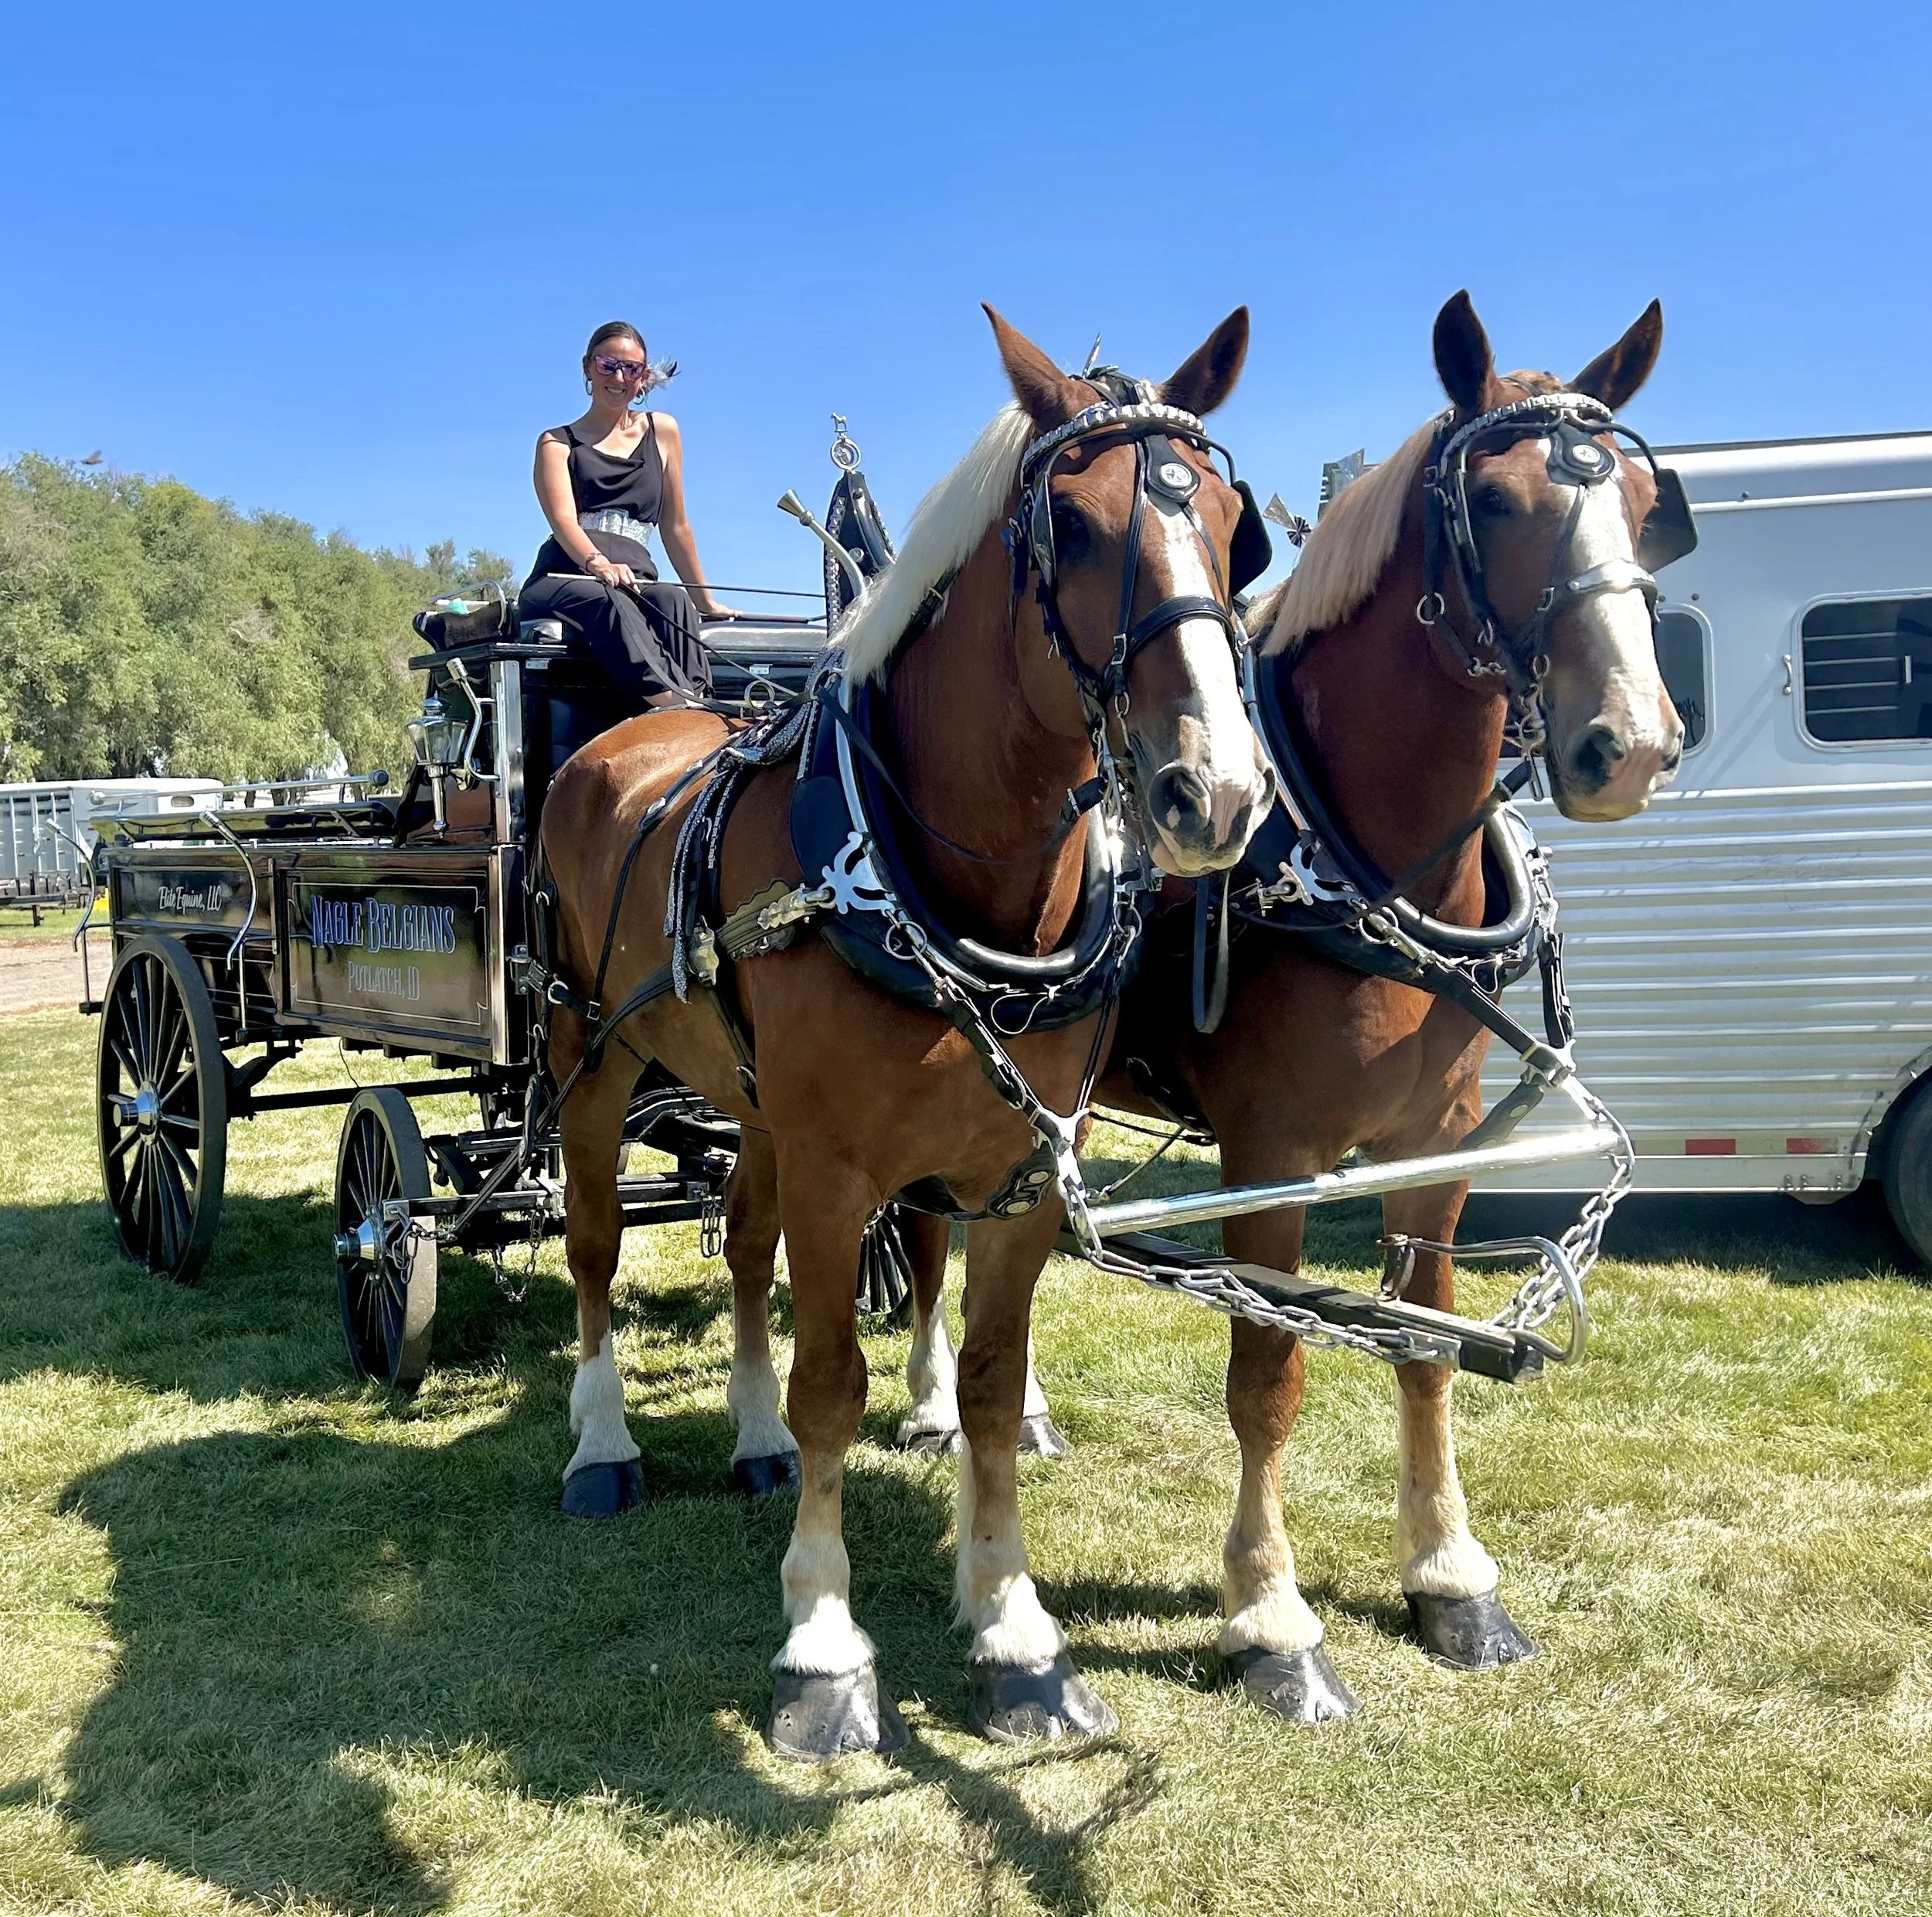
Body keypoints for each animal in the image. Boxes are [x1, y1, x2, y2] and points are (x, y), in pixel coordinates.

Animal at [537, 305, 1274, 1760]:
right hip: (592, 1057)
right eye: (1077, 528)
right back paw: (604, 1447)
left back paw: (750, 1440)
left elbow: (989, 1382)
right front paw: (823, 1643)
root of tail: (628, 736)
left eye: (1236, 526)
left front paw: (1012, 1626)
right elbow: (835, 1384)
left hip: (754, 1104)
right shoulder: (839, 1171)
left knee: (745, 1248)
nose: (1214, 793)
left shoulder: (1020, 1171)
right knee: (594, 1248)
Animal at [891, 291, 1687, 1720]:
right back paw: (935, 1403)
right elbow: (1269, 1376)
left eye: (1651, 503)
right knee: (926, 1242)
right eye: (1494, 497)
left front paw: (1450, 1577)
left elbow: (1427, 1345)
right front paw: (1272, 1619)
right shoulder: (1273, 1157)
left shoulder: (1436, 1148)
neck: (1366, 860)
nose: (1629, 745)